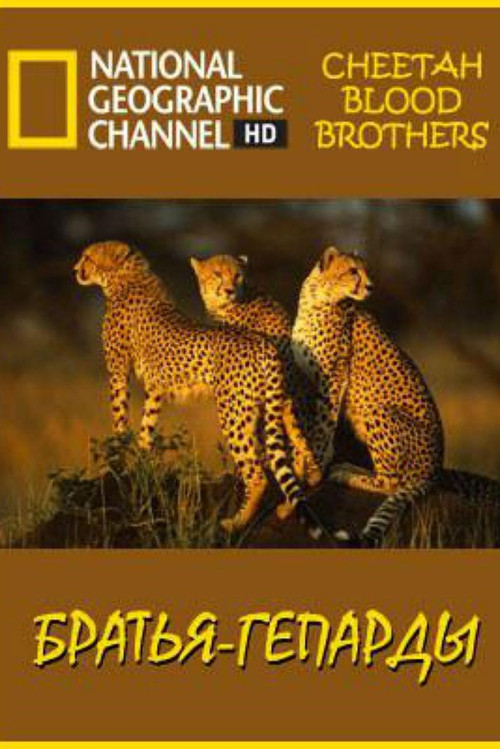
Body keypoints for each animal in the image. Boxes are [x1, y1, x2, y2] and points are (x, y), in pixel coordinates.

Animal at [74, 241, 314, 535]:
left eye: (87, 257)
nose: (75, 269)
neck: (126, 277)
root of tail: (263, 344)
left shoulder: (118, 371)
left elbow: (119, 419)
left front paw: (116, 464)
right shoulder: (155, 386)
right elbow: (147, 425)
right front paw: (142, 461)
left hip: (234, 414)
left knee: (257, 472)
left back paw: (236, 522)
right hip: (269, 406)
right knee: (297, 448)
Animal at [293, 245, 500, 546]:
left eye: (366, 271)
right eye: (353, 271)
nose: (371, 286)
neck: (317, 296)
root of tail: (434, 471)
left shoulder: (330, 381)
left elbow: (321, 428)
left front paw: (311, 471)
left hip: (377, 411)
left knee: (390, 483)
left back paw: (346, 472)